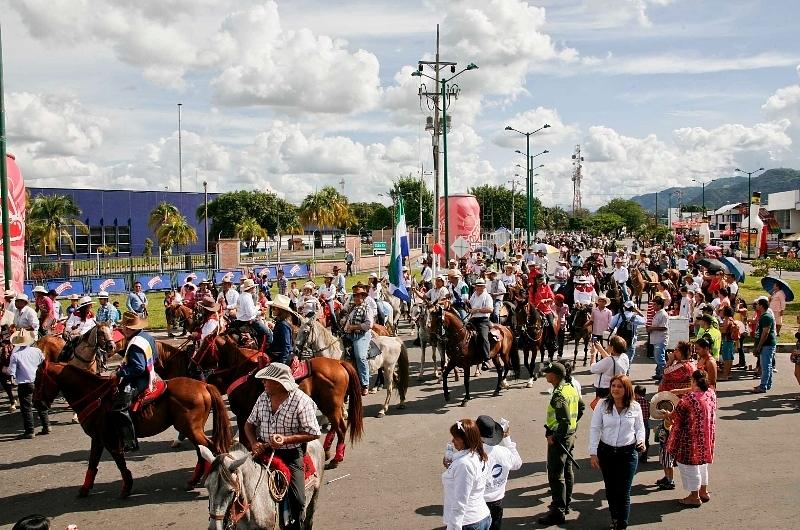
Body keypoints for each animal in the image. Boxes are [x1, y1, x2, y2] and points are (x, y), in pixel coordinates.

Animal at [33, 358, 231, 496]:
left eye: (37, 380)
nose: (36, 403)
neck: (94, 396)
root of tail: (204, 385)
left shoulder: (110, 439)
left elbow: (119, 462)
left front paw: (126, 487)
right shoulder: (98, 438)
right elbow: (92, 463)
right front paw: (85, 488)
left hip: (191, 429)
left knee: (211, 448)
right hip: (191, 429)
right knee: (201, 451)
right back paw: (194, 480)